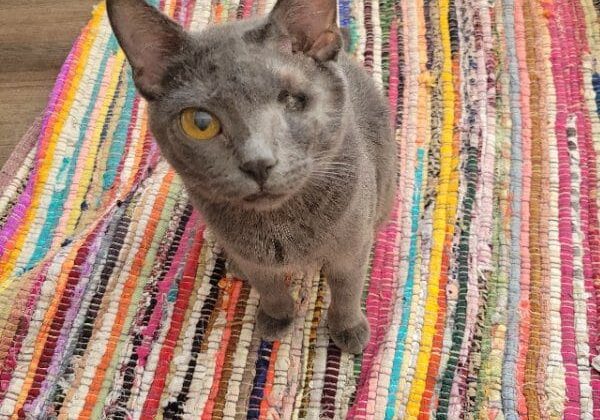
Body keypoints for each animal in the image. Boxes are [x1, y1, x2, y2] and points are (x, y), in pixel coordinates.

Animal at [106, 0, 398, 352]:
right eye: (200, 123)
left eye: (293, 100)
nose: (258, 162)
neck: (280, 227)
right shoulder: (256, 260)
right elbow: (269, 287)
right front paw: (277, 317)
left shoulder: (351, 247)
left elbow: (347, 290)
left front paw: (348, 329)